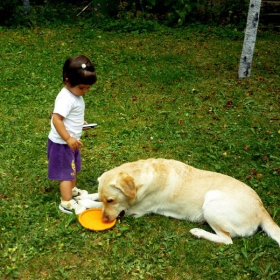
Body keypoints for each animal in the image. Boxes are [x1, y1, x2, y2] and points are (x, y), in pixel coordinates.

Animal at [98, 159, 280, 246]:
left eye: (111, 200)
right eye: (105, 200)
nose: (104, 220)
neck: (141, 177)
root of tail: (261, 208)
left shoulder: (136, 211)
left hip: (211, 202)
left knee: (227, 240)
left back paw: (198, 232)